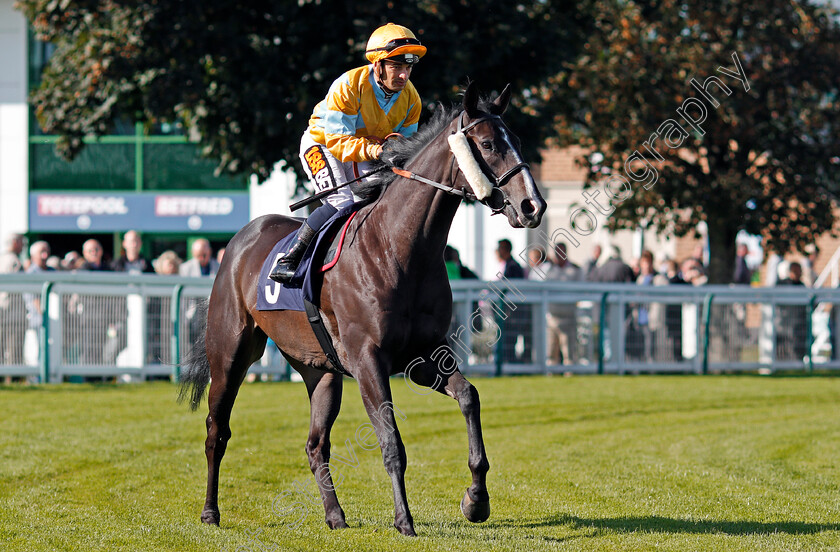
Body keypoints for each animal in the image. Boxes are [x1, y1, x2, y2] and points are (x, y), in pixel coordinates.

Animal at [177, 82, 544, 536]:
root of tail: (241, 238)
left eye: (519, 141)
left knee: (315, 445)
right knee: (217, 431)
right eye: (489, 144)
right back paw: (211, 512)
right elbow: (391, 442)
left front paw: (476, 500)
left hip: (319, 371)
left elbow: (469, 397)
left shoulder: (425, 357)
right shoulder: (369, 360)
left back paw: (336, 516)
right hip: (230, 353)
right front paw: (404, 520)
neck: (398, 248)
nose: (533, 206)